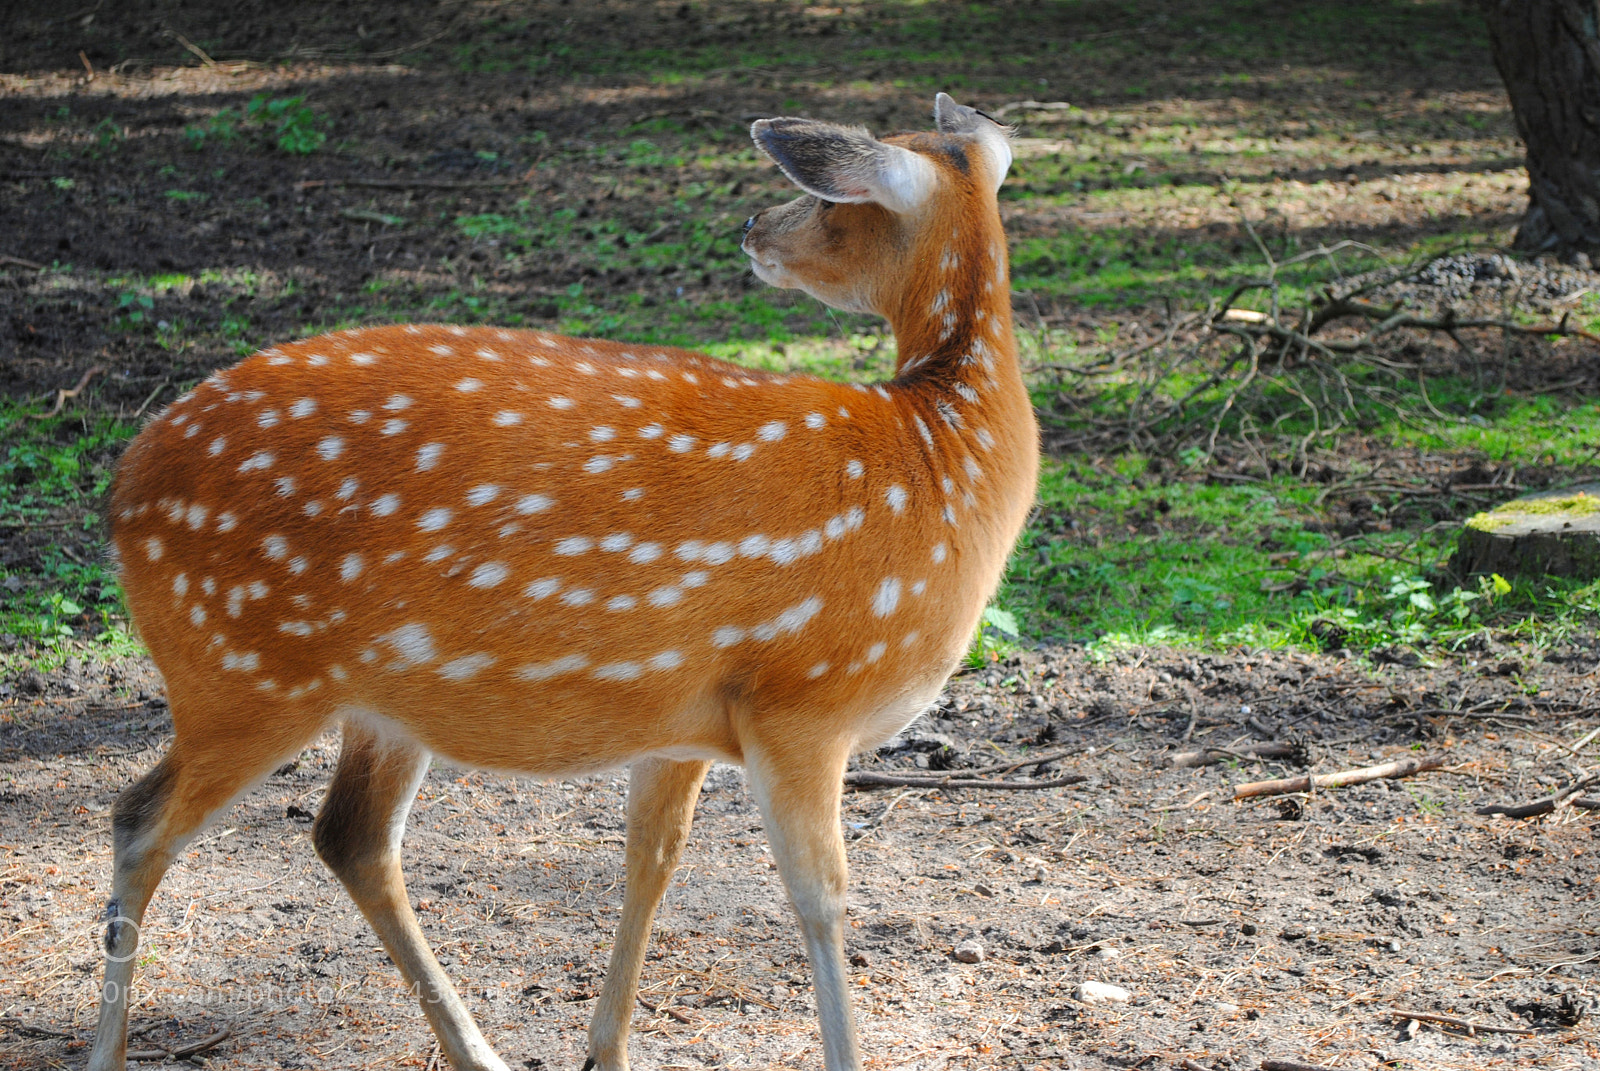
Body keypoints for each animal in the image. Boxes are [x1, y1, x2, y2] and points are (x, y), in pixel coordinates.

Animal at [88, 93, 1037, 1071]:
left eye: (823, 200)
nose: (751, 228)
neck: (943, 460)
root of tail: (123, 491)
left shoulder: (689, 716)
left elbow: (651, 858)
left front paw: (603, 1050)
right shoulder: (803, 699)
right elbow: (821, 900)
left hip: (373, 700)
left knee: (348, 834)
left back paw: (480, 1049)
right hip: (242, 670)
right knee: (139, 820)